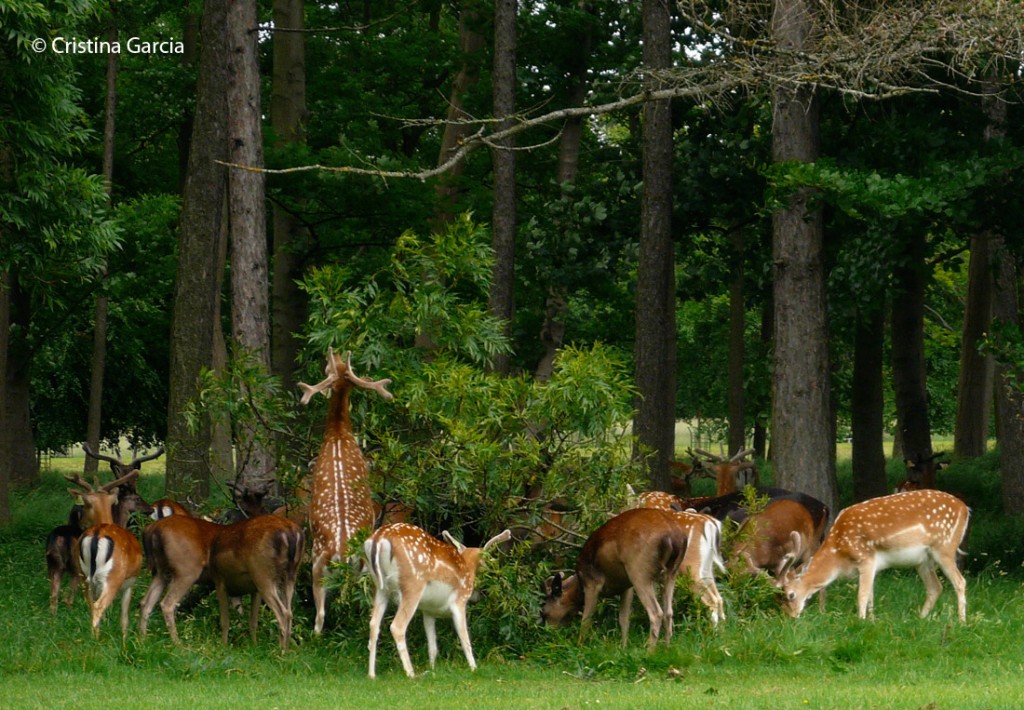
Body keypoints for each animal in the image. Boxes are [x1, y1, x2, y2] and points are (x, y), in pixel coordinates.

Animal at [207, 512, 303, 651]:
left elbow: (225, 621)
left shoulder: (219, 580)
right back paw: (287, 649)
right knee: (289, 611)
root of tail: (290, 532)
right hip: (290, 574)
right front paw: (254, 645)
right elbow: (252, 621)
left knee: (283, 612)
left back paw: (280, 651)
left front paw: (223, 646)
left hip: (262, 573)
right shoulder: (253, 590)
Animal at [299, 348, 395, 631]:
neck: (338, 435)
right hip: (366, 570)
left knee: (321, 614)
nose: (336, 352)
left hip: (317, 563)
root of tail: (342, 554)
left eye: (328, 367)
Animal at [366, 522, 512, 680]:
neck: (468, 570)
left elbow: (433, 647)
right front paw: (474, 668)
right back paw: (411, 673)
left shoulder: (428, 611)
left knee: (373, 624)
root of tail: (379, 538)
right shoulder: (460, 601)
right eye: (487, 559)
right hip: (412, 585)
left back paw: (372, 674)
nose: (494, 568)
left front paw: (432, 668)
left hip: (380, 588)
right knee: (397, 626)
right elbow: (465, 639)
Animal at [544, 506, 688, 651]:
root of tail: (673, 536)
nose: (548, 633)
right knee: (668, 612)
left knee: (656, 613)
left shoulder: (593, 582)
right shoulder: (626, 586)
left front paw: (579, 647)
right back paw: (666, 648)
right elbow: (623, 618)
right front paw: (623, 648)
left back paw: (649, 651)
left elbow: (586, 619)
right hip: (671, 572)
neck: (579, 583)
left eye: (543, 611)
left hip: (639, 570)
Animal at [778, 489, 970, 618]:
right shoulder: (872, 566)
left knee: (960, 581)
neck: (839, 555)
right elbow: (870, 595)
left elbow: (861, 596)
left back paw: (961, 622)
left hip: (944, 548)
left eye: (790, 594)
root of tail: (965, 509)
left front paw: (860, 622)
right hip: (923, 561)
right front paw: (872, 621)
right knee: (935, 587)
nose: (791, 617)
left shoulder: (865, 558)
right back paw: (920, 619)